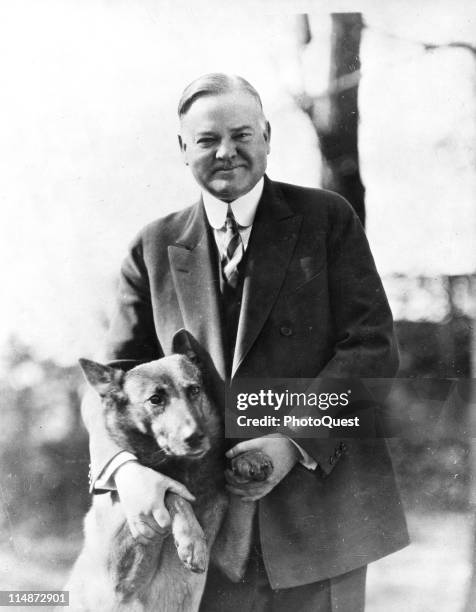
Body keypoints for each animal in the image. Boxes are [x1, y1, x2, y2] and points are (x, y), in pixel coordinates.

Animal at [67, 332, 276, 608]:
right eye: (155, 399)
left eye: (194, 390)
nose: (195, 438)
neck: (184, 469)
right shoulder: (119, 577)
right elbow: (171, 491)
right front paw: (192, 540)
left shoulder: (230, 562)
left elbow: (241, 502)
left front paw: (247, 459)